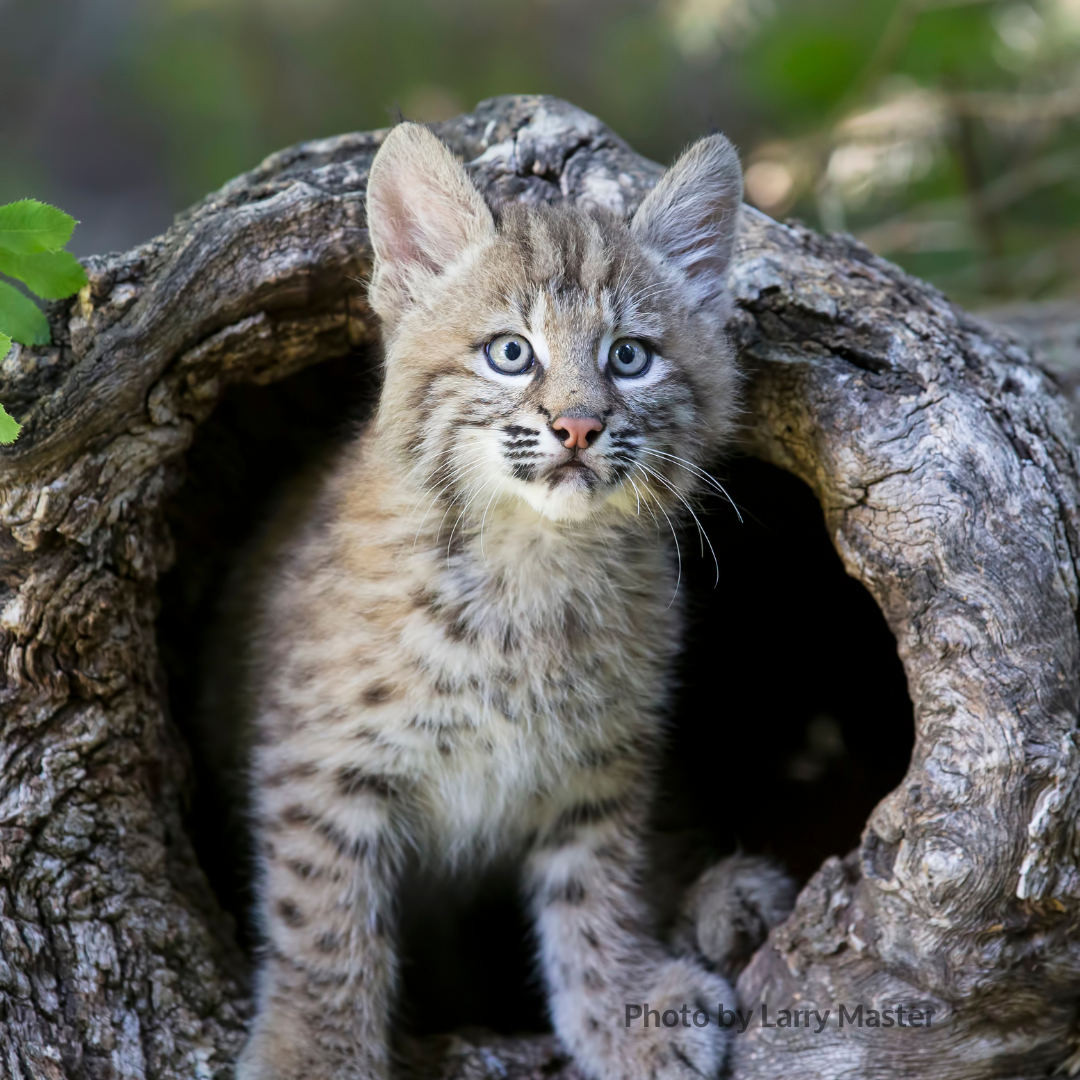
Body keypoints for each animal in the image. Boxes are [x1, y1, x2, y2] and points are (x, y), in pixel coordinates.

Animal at [237, 120, 747, 1080]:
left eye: (630, 357)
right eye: (511, 352)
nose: (579, 427)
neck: (531, 553)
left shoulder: (603, 756)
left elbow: (597, 880)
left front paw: (621, 1007)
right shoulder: (323, 758)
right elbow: (323, 913)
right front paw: (314, 1052)